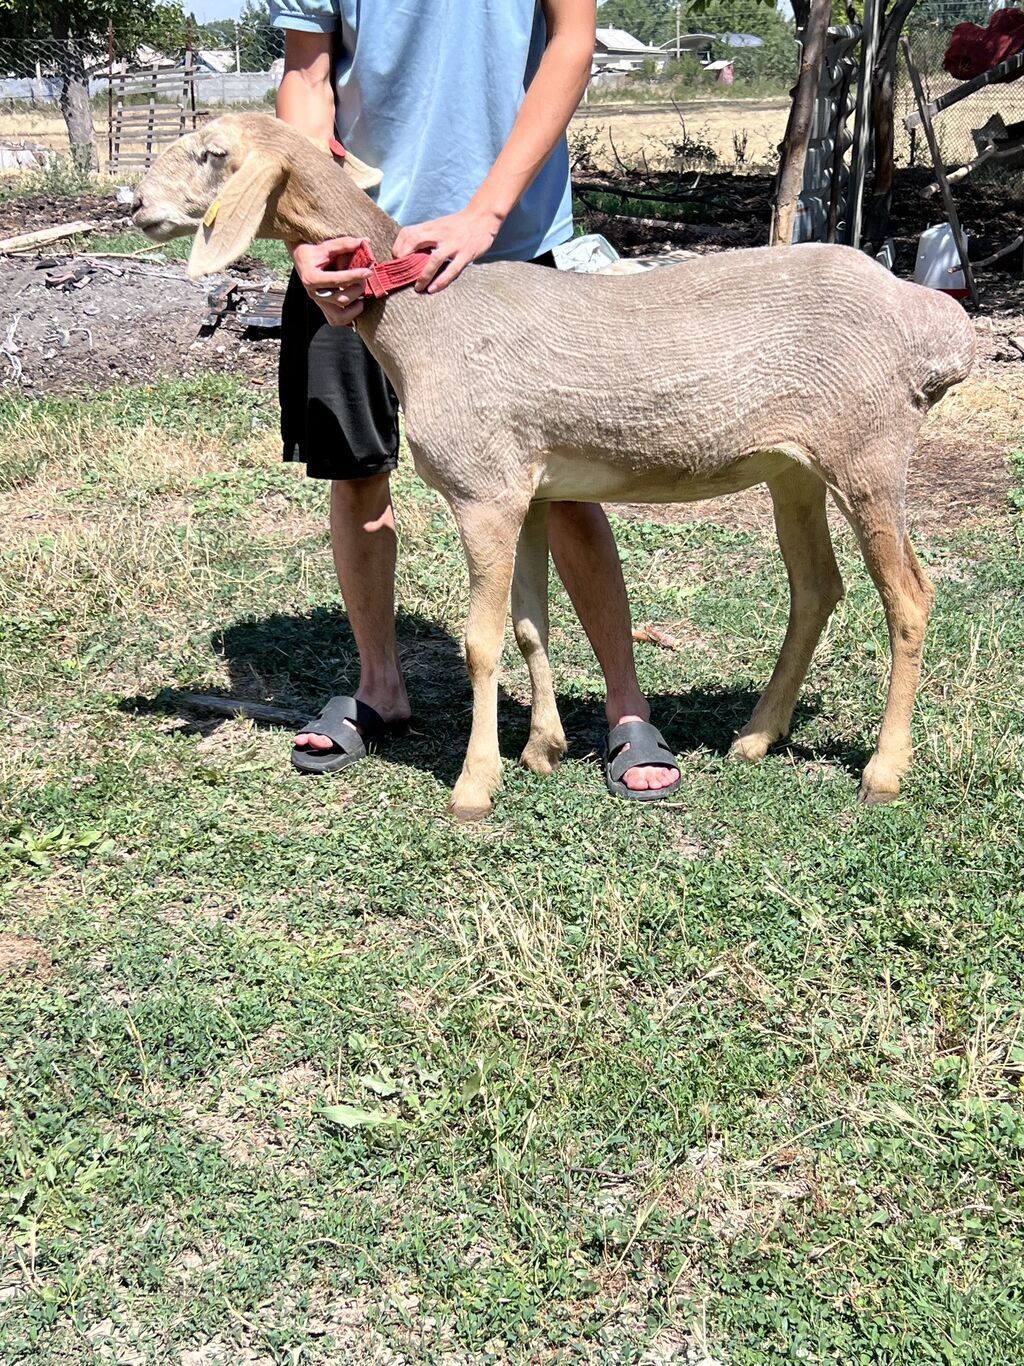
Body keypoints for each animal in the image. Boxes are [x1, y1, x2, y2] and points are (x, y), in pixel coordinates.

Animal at [133, 112, 976, 821]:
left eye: (214, 153)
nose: (134, 201)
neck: (424, 320)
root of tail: (933, 323)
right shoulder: (528, 489)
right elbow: (530, 624)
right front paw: (542, 749)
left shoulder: (483, 491)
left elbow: (481, 643)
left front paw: (475, 785)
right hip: (793, 468)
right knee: (816, 589)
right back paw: (755, 737)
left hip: (868, 452)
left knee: (909, 595)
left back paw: (882, 770)